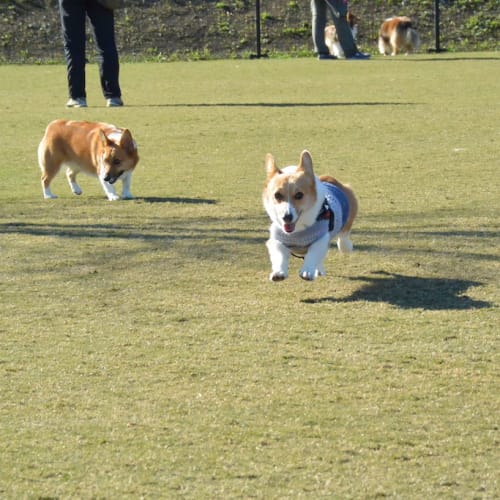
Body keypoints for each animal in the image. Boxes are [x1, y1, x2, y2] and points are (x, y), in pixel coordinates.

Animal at [264, 148, 358, 282]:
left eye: (299, 195)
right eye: (277, 195)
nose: (286, 217)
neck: (297, 231)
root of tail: (330, 179)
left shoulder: (321, 238)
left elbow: (313, 254)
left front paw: (307, 271)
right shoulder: (277, 240)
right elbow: (279, 255)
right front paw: (278, 273)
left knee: (343, 236)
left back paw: (345, 246)